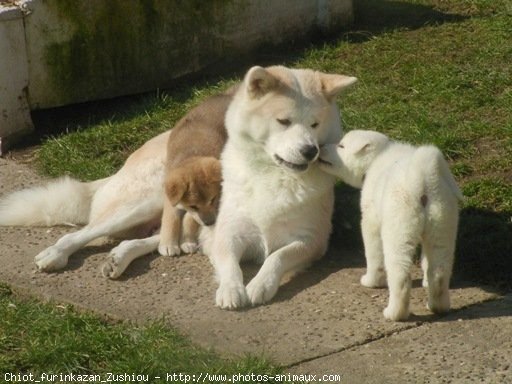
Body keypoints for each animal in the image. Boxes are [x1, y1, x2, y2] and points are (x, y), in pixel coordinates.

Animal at [206, 64, 358, 308]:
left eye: (315, 124)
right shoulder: (229, 232)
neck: (275, 175)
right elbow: (230, 264)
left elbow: (276, 257)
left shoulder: (311, 239)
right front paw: (231, 288)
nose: (310, 151)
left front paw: (261, 284)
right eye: (283, 121)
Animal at [318, 130, 462, 320]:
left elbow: (373, 256)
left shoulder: (370, 222)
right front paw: (424, 282)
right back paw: (437, 306)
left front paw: (370, 281)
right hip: (442, 226)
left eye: (341, 146)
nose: (319, 146)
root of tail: (421, 177)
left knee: (400, 277)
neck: (377, 158)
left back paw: (394, 313)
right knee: (439, 271)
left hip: (398, 231)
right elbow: (425, 261)